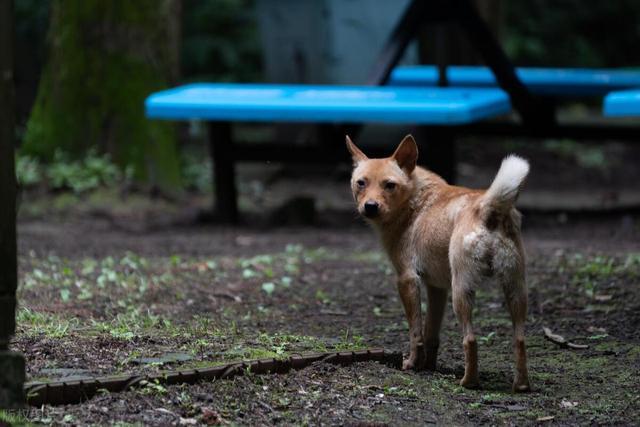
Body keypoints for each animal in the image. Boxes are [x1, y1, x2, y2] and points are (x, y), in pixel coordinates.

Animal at [348, 135, 532, 392]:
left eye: (389, 185)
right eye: (361, 183)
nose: (371, 206)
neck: (414, 201)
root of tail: (489, 207)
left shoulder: (407, 280)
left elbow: (416, 333)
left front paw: (413, 364)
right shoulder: (437, 288)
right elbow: (430, 334)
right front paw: (428, 366)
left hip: (462, 292)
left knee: (470, 339)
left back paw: (468, 382)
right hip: (515, 290)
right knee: (520, 339)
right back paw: (521, 384)